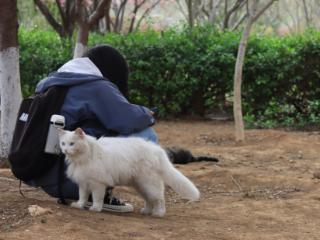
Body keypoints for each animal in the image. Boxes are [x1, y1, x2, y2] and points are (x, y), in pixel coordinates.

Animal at [56, 127, 199, 218]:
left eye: (72, 144)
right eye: (63, 143)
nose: (65, 151)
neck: (86, 155)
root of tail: (157, 150)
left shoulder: (97, 184)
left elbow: (97, 199)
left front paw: (95, 209)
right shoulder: (84, 183)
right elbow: (82, 197)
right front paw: (79, 205)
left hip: (149, 184)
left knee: (159, 199)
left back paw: (159, 214)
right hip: (141, 186)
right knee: (149, 200)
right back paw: (146, 211)